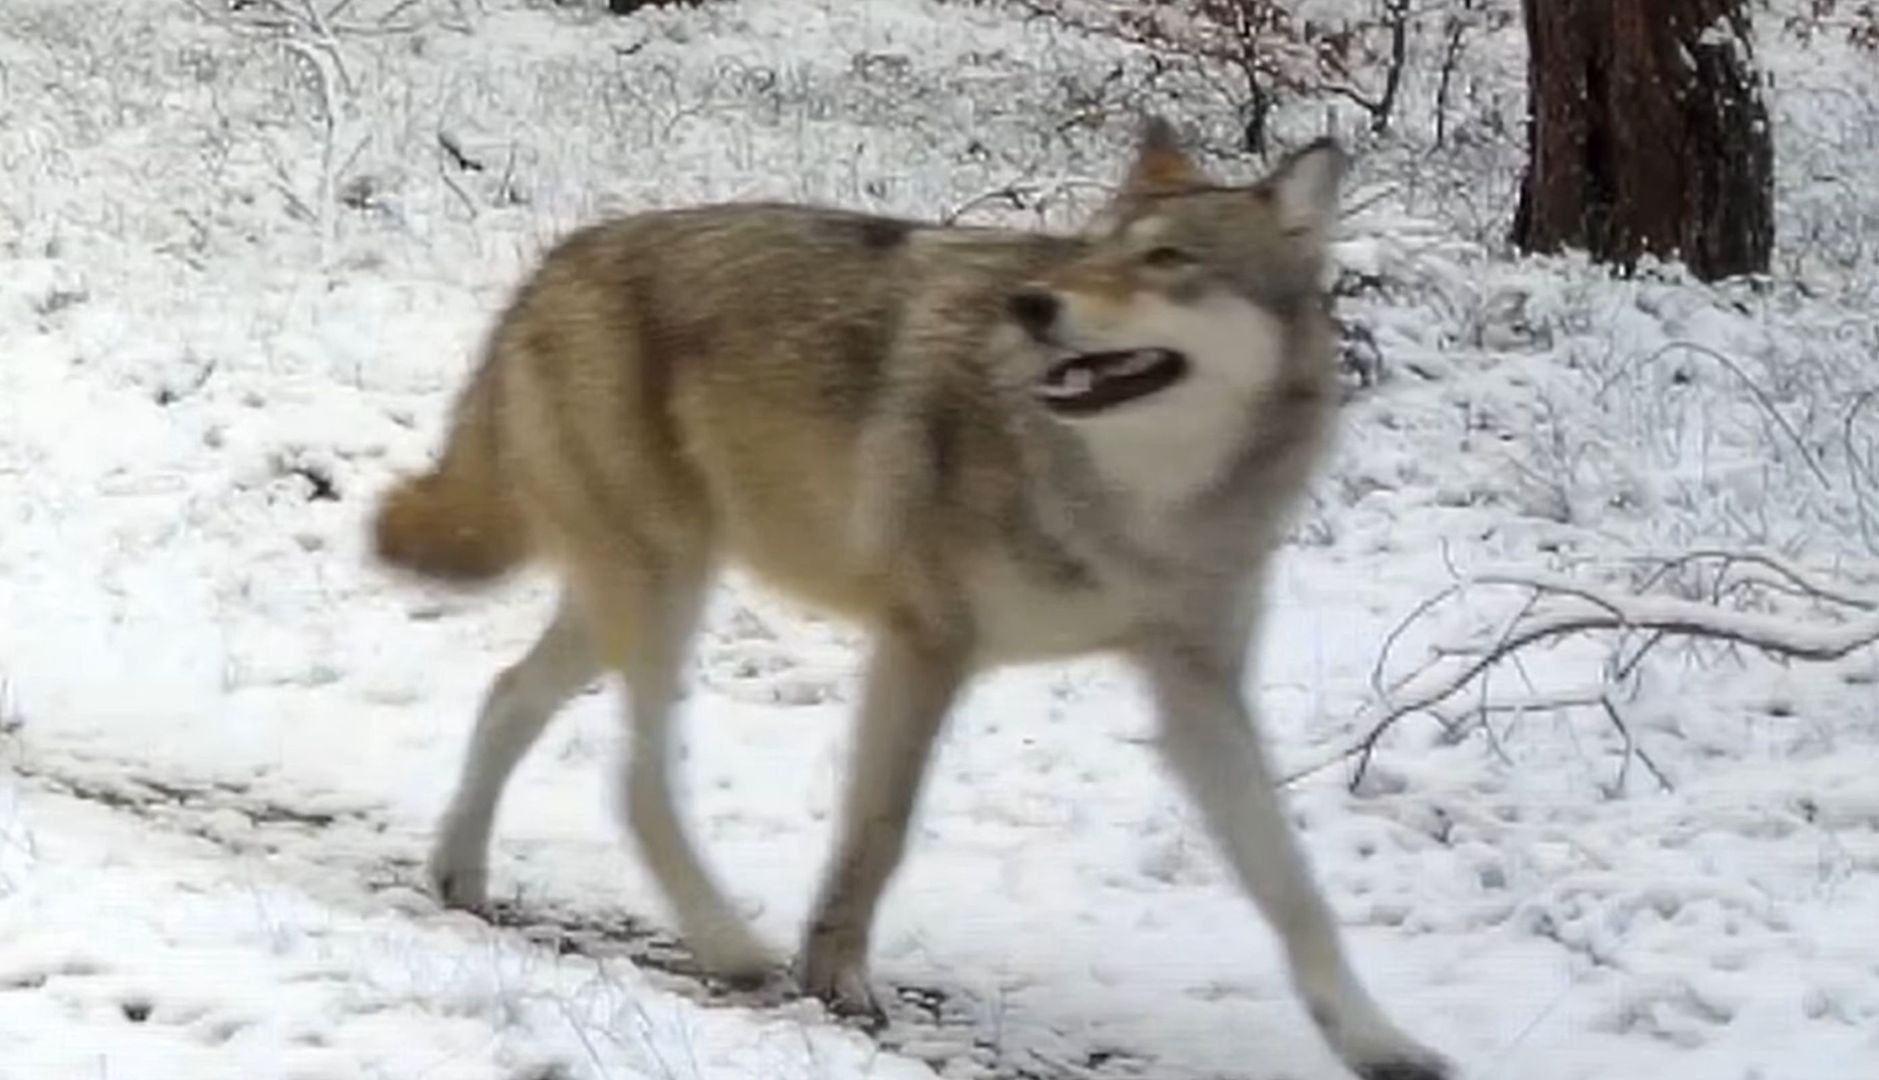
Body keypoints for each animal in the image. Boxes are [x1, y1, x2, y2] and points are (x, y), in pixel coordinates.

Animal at [370, 120, 1450, 1080]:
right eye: (1092, 248)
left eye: (1166, 258)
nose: (1033, 305)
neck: (1133, 505)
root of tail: (556, 261)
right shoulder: (925, 643)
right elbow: (878, 833)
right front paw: (837, 978)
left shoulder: (1197, 691)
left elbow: (1294, 889)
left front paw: (1377, 1040)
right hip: (663, 591)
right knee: (634, 780)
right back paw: (727, 945)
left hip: (624, 600)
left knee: (509, 696)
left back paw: (460, 874)